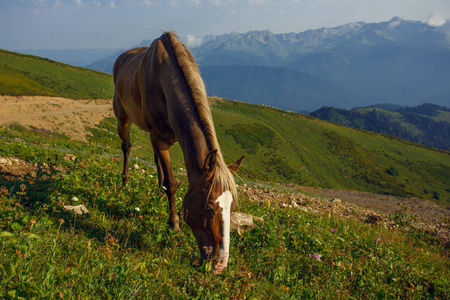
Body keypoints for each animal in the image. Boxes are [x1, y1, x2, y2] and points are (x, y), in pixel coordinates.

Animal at [112, 31, 246, 274]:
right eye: (209, 208)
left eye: (232, 208)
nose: (220, 264)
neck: (165, 81)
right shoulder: (159, 138)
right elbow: (172, 184)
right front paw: (174, 224)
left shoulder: (162, 139)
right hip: (122, 117)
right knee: (126, 148)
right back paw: (125, 182)